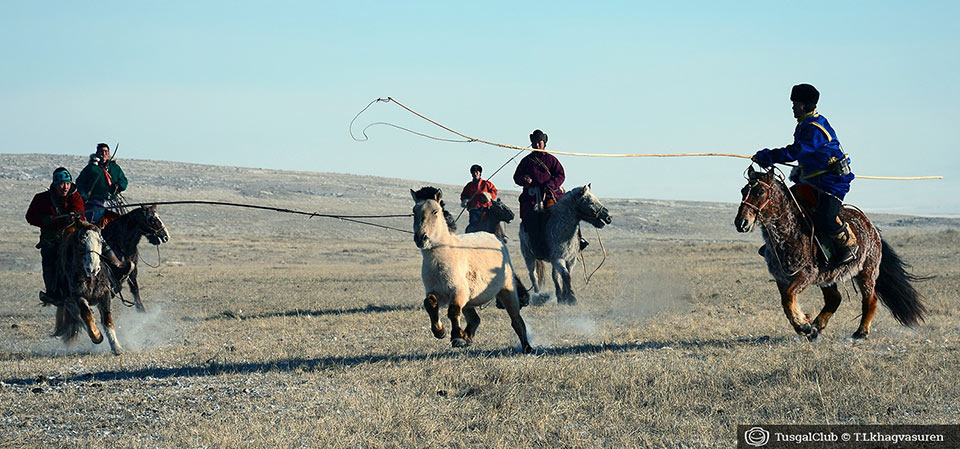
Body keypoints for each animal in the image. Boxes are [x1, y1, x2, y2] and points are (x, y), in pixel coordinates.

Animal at [53, 222, 124, 354]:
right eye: (82, 241)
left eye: (100, 241)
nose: (93, 268)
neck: (90, 280)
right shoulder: (78, 298)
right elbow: (86, 315)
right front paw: (97, 336)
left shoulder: (105, 296)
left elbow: (107, 320)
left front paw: (117, 347)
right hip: (70, 304)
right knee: (80, 318)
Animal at [411, 189, 533, 353]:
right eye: (414, 212)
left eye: (435, 211)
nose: (421, 238)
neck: (443, 260)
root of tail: (496, 238)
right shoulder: (436, 291)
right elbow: (430, 303)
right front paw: (440, 331)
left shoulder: (459, 291)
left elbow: (453, 310)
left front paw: (456, 336)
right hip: (470, 300)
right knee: (475, 318)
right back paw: (466, 337)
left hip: (507, 290)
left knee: (516, 320)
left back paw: (527, 347)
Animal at [735, 166, 926, 340]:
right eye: (743, 191)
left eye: (760, 191)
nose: (741, 223)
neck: (789, 233)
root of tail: (872, 228)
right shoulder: (782, 278)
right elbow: (786, 303)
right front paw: (805, 325)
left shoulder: (806, 275)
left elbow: (789, 298)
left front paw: (803, 325)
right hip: (828, 276)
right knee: (835, 299)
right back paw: (817, 327)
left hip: (867, 271)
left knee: (870, 299)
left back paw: (860, 333)